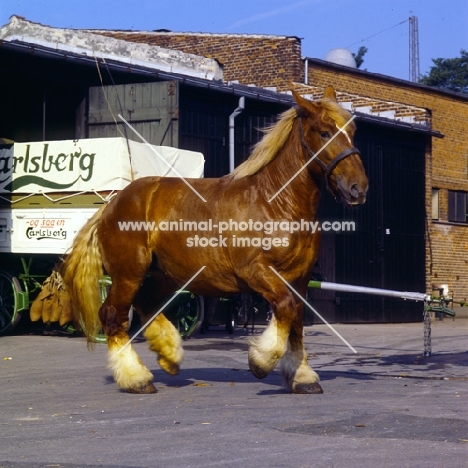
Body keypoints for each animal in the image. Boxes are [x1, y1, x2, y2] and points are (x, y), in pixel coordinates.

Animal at [64, 87, 368, 394]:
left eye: (353, 132)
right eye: (324, 132)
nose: (358, 188)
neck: (275, 203)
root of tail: (111, 204)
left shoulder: (300, 279)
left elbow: (296, 321)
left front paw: (302, 377)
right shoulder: (256, 271)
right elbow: (285, 308)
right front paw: (261, 361)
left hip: (164, 275)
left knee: (146, 305)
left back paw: (168, 356)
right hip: (129, 274)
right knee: (113, 314)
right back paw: (136, 378)